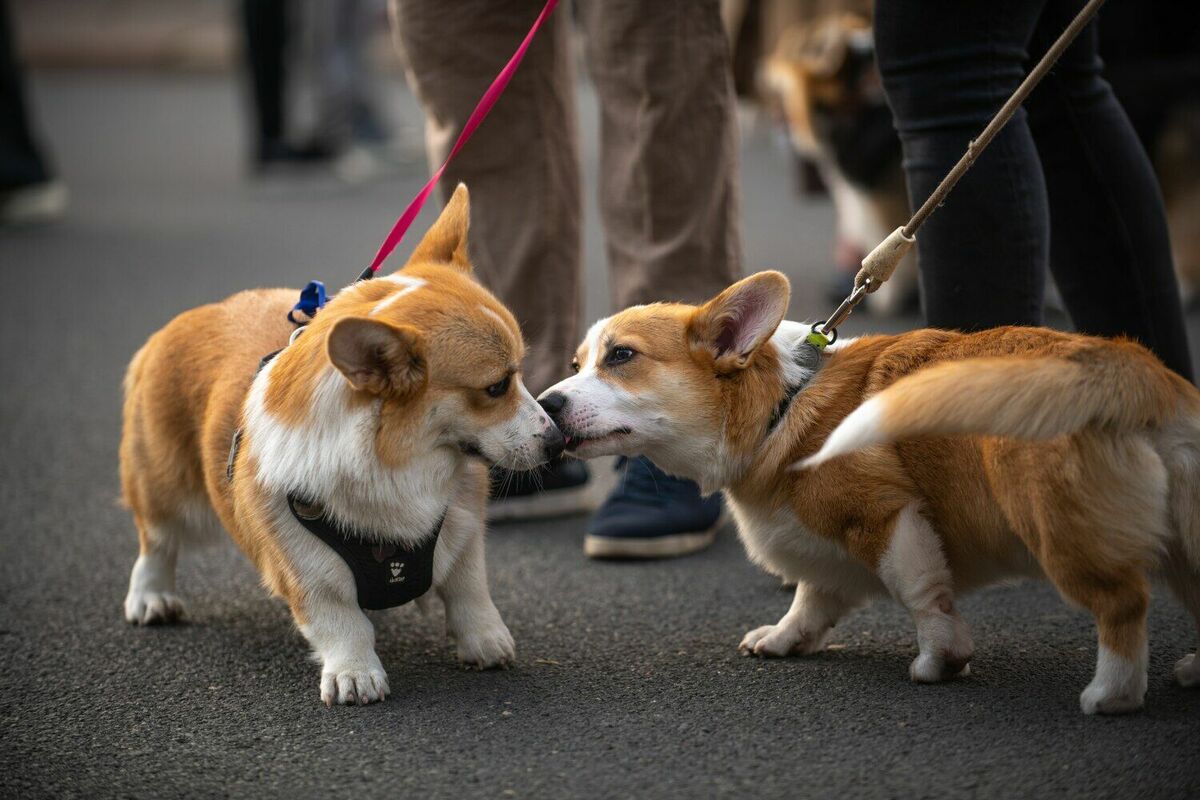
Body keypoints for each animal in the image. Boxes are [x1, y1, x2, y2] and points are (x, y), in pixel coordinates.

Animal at [119, 185, 559, 705]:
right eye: (495, 387)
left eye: (520, 373)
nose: (558, 441)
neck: (394, 461)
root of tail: (179, 323)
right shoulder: (299, 560)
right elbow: (341, 621)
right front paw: (355, 675)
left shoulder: (464, 525)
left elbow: (469, 589)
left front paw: (487, 642)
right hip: (166, 485)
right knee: (156, 539)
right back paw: (150, 597)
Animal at [540, 272, 1200, 714]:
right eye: (577, 363)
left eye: (622, 356)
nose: (545, 404)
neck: (782, 403)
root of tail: (1135, 374)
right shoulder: (827, 547)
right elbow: (811, 597)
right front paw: (783, 638)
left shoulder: (888, 517)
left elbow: (922, 596)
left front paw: (941, 660)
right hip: (1184, 538)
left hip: (1057, 526)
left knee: (1122, 605)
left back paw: (1110, 693)